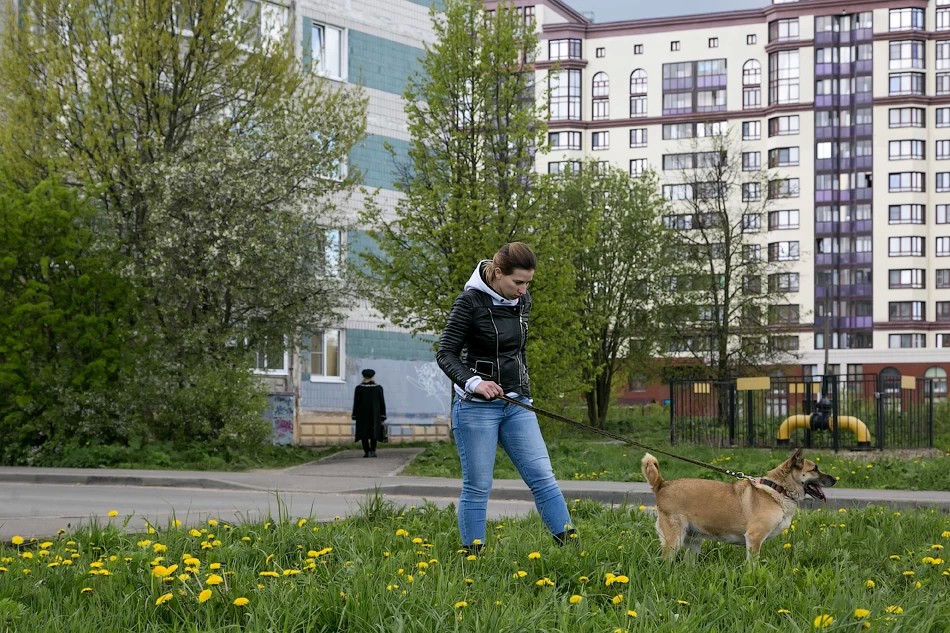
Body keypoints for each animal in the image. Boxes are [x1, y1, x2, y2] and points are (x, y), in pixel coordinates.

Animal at [644, 446, 836, 556]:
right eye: (815, 469)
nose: (835, 480)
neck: (778, 488)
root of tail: (662, 485)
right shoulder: (754, 538)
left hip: (694, 541)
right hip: (674, 540)